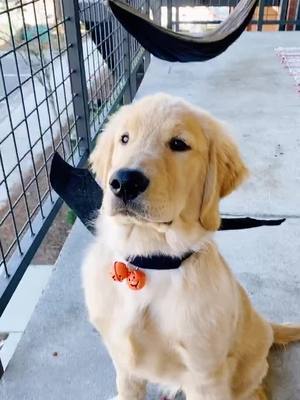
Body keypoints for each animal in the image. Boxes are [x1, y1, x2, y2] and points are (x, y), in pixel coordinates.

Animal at [82, 93, 300, 400]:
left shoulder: (205, 375)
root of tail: (267, 326)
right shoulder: (124, 364)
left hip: (249, 364)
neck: (152, 259)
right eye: (125, 138)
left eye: (178, 144)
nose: (124, 182)